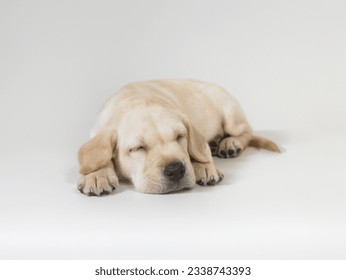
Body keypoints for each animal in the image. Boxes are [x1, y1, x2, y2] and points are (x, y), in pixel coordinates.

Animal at [77, 80, 280, 196]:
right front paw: (97, 174)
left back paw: (230, 143)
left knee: (246, 131)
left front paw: (204, 166)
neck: (133, 99)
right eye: (138, 148)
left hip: (230, 111)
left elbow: (199, 149)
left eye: (180, 137)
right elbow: (96, 154)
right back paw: (216, 143)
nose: (175, 170)